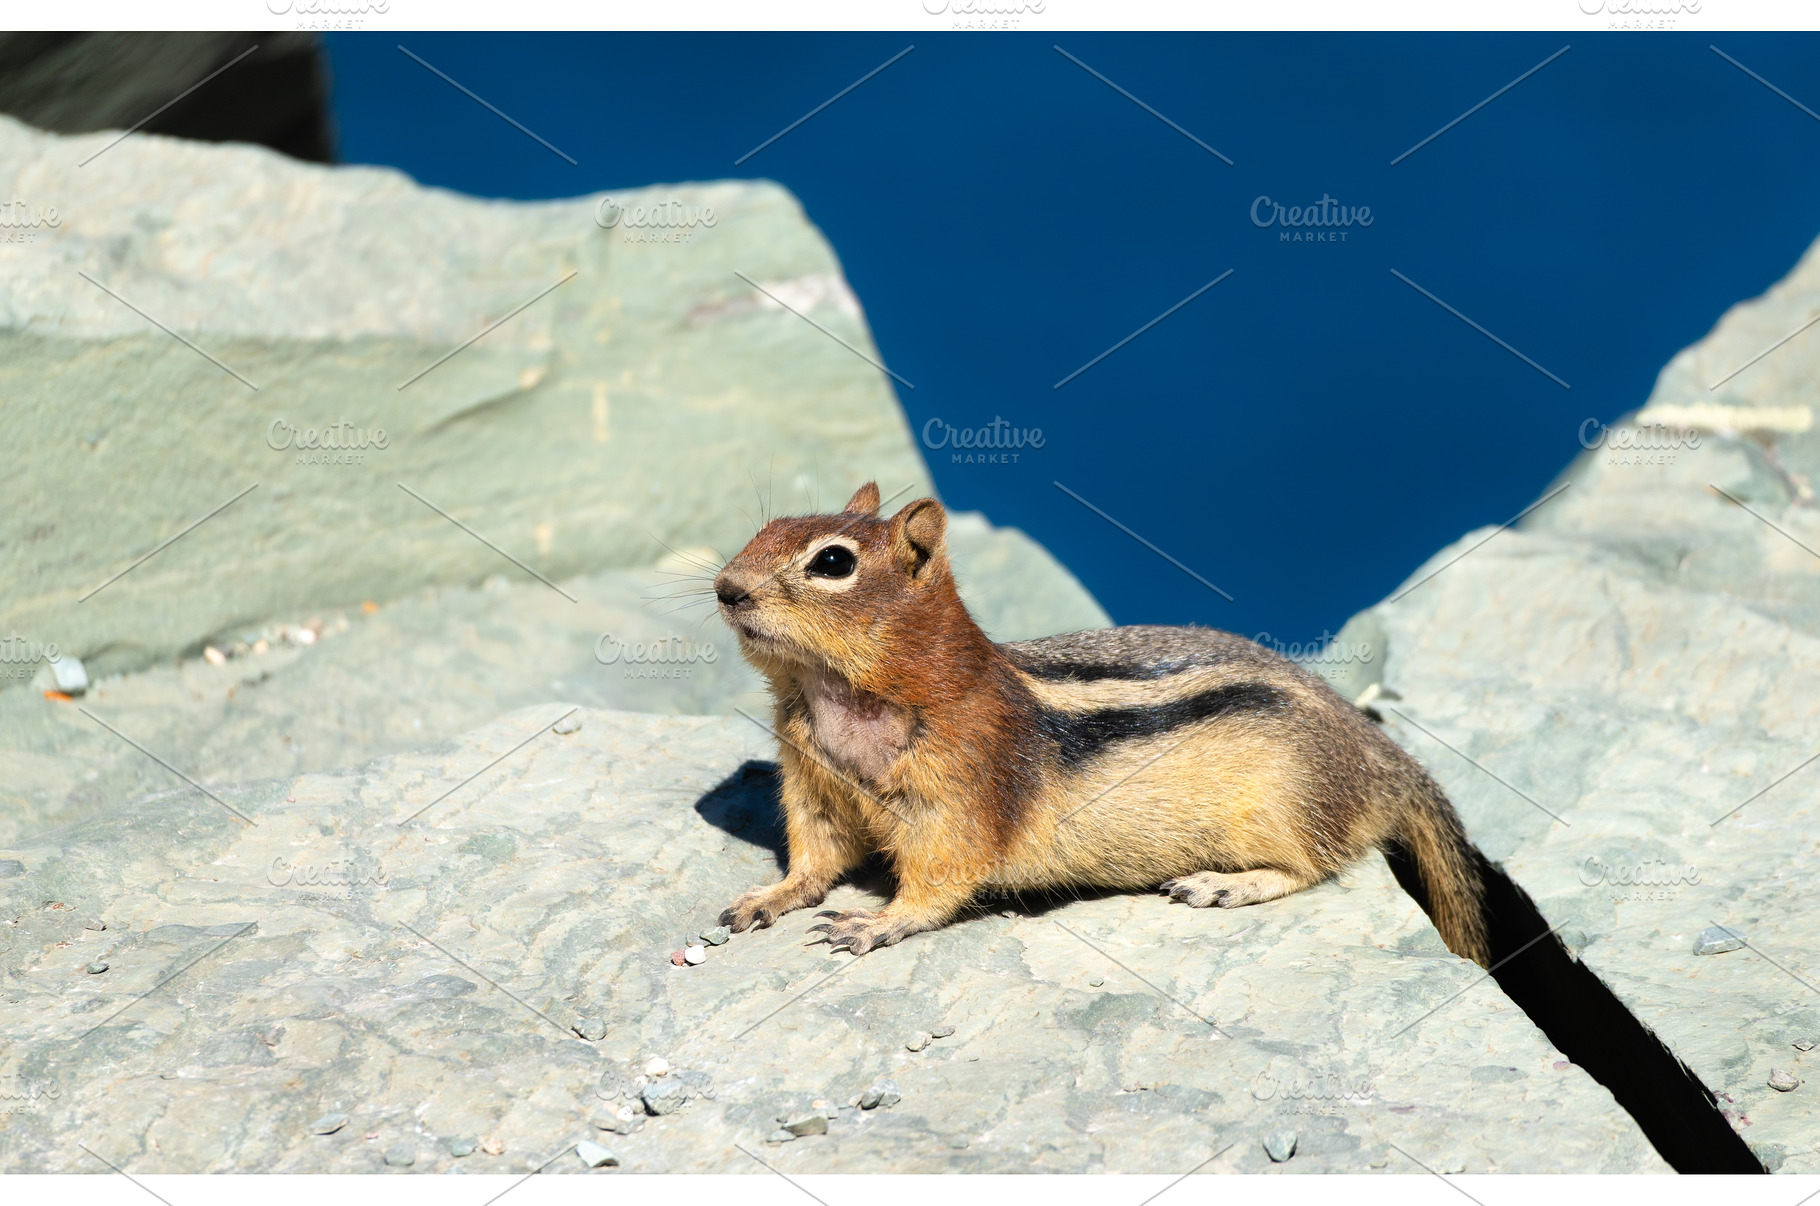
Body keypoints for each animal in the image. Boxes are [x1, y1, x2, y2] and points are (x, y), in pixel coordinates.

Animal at [713, 482, 1491, 967]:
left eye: (833, 562)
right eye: (763, 530)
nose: (726, 588)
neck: (835, 693)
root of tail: (1380, 755)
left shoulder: (960, 795)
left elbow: (942, 876)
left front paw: (879, 921)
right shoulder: (813, 782)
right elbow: (815, 855)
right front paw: (770, 897)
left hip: (1287, 806)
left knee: (1311, 866)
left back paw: (1222, 885)